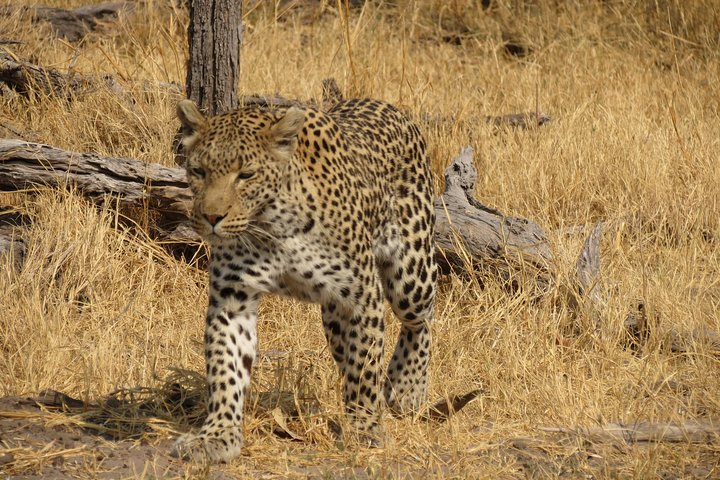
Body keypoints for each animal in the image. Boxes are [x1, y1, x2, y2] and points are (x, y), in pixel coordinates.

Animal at [173, 96, 438, 462]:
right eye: (199, 171)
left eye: (246, 175)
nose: (212, 217)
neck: (272, 227)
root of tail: (386, 106)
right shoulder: (232, 297)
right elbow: (226, 367)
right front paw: (217, 435)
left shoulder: (361, 294)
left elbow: (366, 366)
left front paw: (366, 428)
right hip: (333, 316)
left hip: (411, 274)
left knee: (420, 320)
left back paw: (407, 387)